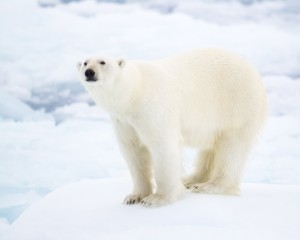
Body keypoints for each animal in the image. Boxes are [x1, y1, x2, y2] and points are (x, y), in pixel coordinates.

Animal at [77, 48, 268, 206]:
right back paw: (190, 180)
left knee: (232, 147)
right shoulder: (124, 121)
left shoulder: (153, 108)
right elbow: (134, 152)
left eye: (102, 62)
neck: (134, 92)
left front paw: (157, 198)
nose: (89, 72)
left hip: (237, 104)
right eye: (85, 62)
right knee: (210, 149)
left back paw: (210, 186)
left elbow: (163, 147)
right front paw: (134, 196)